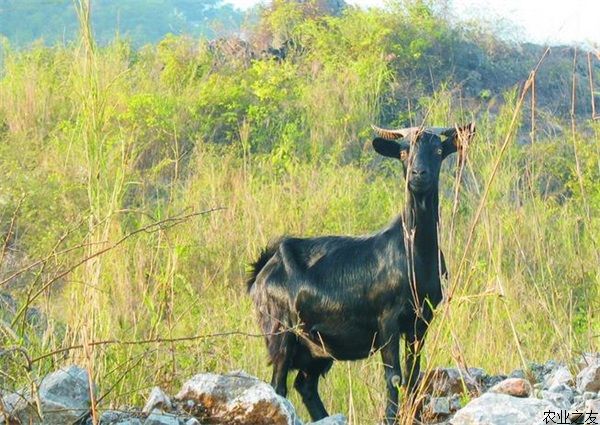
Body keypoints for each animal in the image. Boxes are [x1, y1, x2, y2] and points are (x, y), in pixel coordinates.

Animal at [246, 121, 476, 420]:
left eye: (438, 151)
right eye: (404, 153)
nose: (418, 175)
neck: (413, 252)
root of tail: (262, 271)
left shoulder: (421, 320)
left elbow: (413, 376)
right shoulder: (387, 319)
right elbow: (394, 377)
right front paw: (390, 418)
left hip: (316, 347)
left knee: (305, 384)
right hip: (280, 330)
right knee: (278, 385)